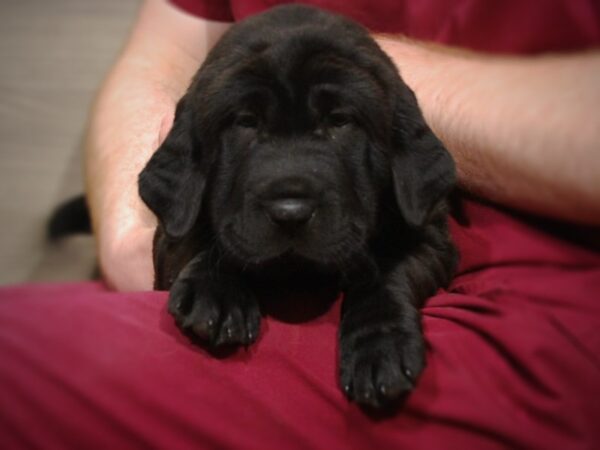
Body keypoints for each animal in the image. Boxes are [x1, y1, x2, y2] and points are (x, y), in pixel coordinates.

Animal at [138, 4, 458, 412]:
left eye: (340, 120)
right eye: (245, 122)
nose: (290, 211)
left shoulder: (430, 231)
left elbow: (388, 268)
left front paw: (379, 345)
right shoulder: (171, 228)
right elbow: (198, 238)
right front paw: (217, 293)